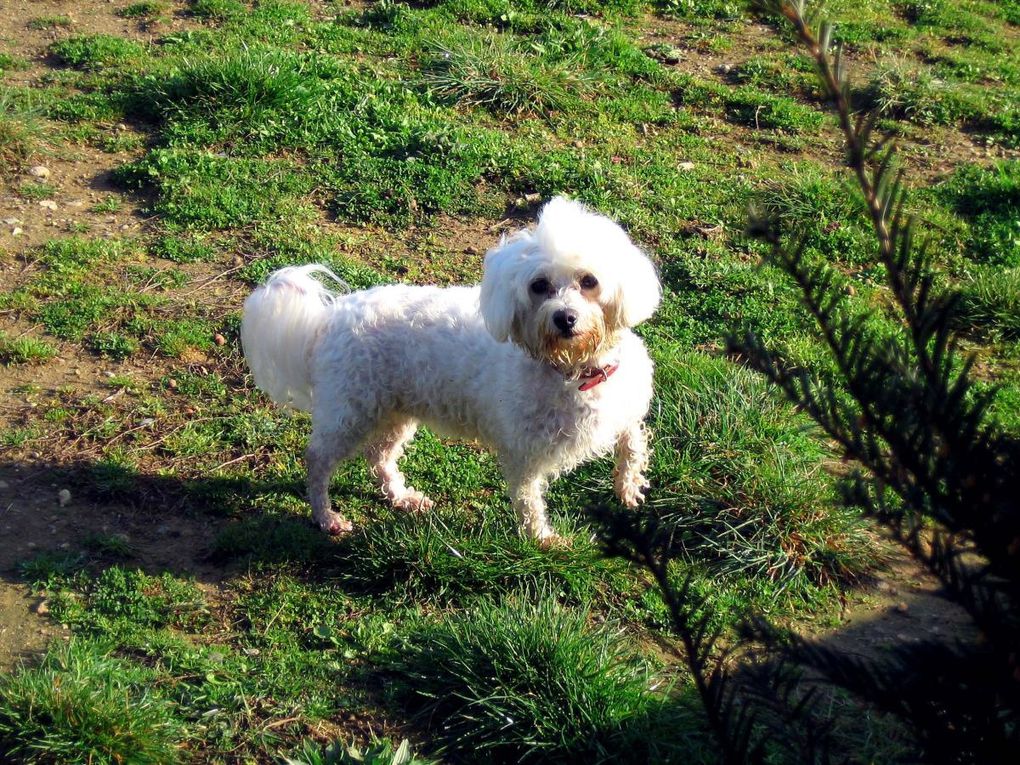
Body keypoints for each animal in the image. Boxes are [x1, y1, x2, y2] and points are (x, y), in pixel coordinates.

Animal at [243, 197, 665, 546]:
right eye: (539, 286)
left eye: (589, 281)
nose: (565, 318)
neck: (576, 371)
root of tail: (329, 318)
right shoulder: (523, 453)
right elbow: (529, 500)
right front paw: (542, 540)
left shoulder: (625, 410)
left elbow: (632, 445)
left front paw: (628, 487)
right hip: (349, 412)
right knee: (318, 460)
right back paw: (326, 516)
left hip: (394, 412)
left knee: (379, 457)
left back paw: (402, 497)